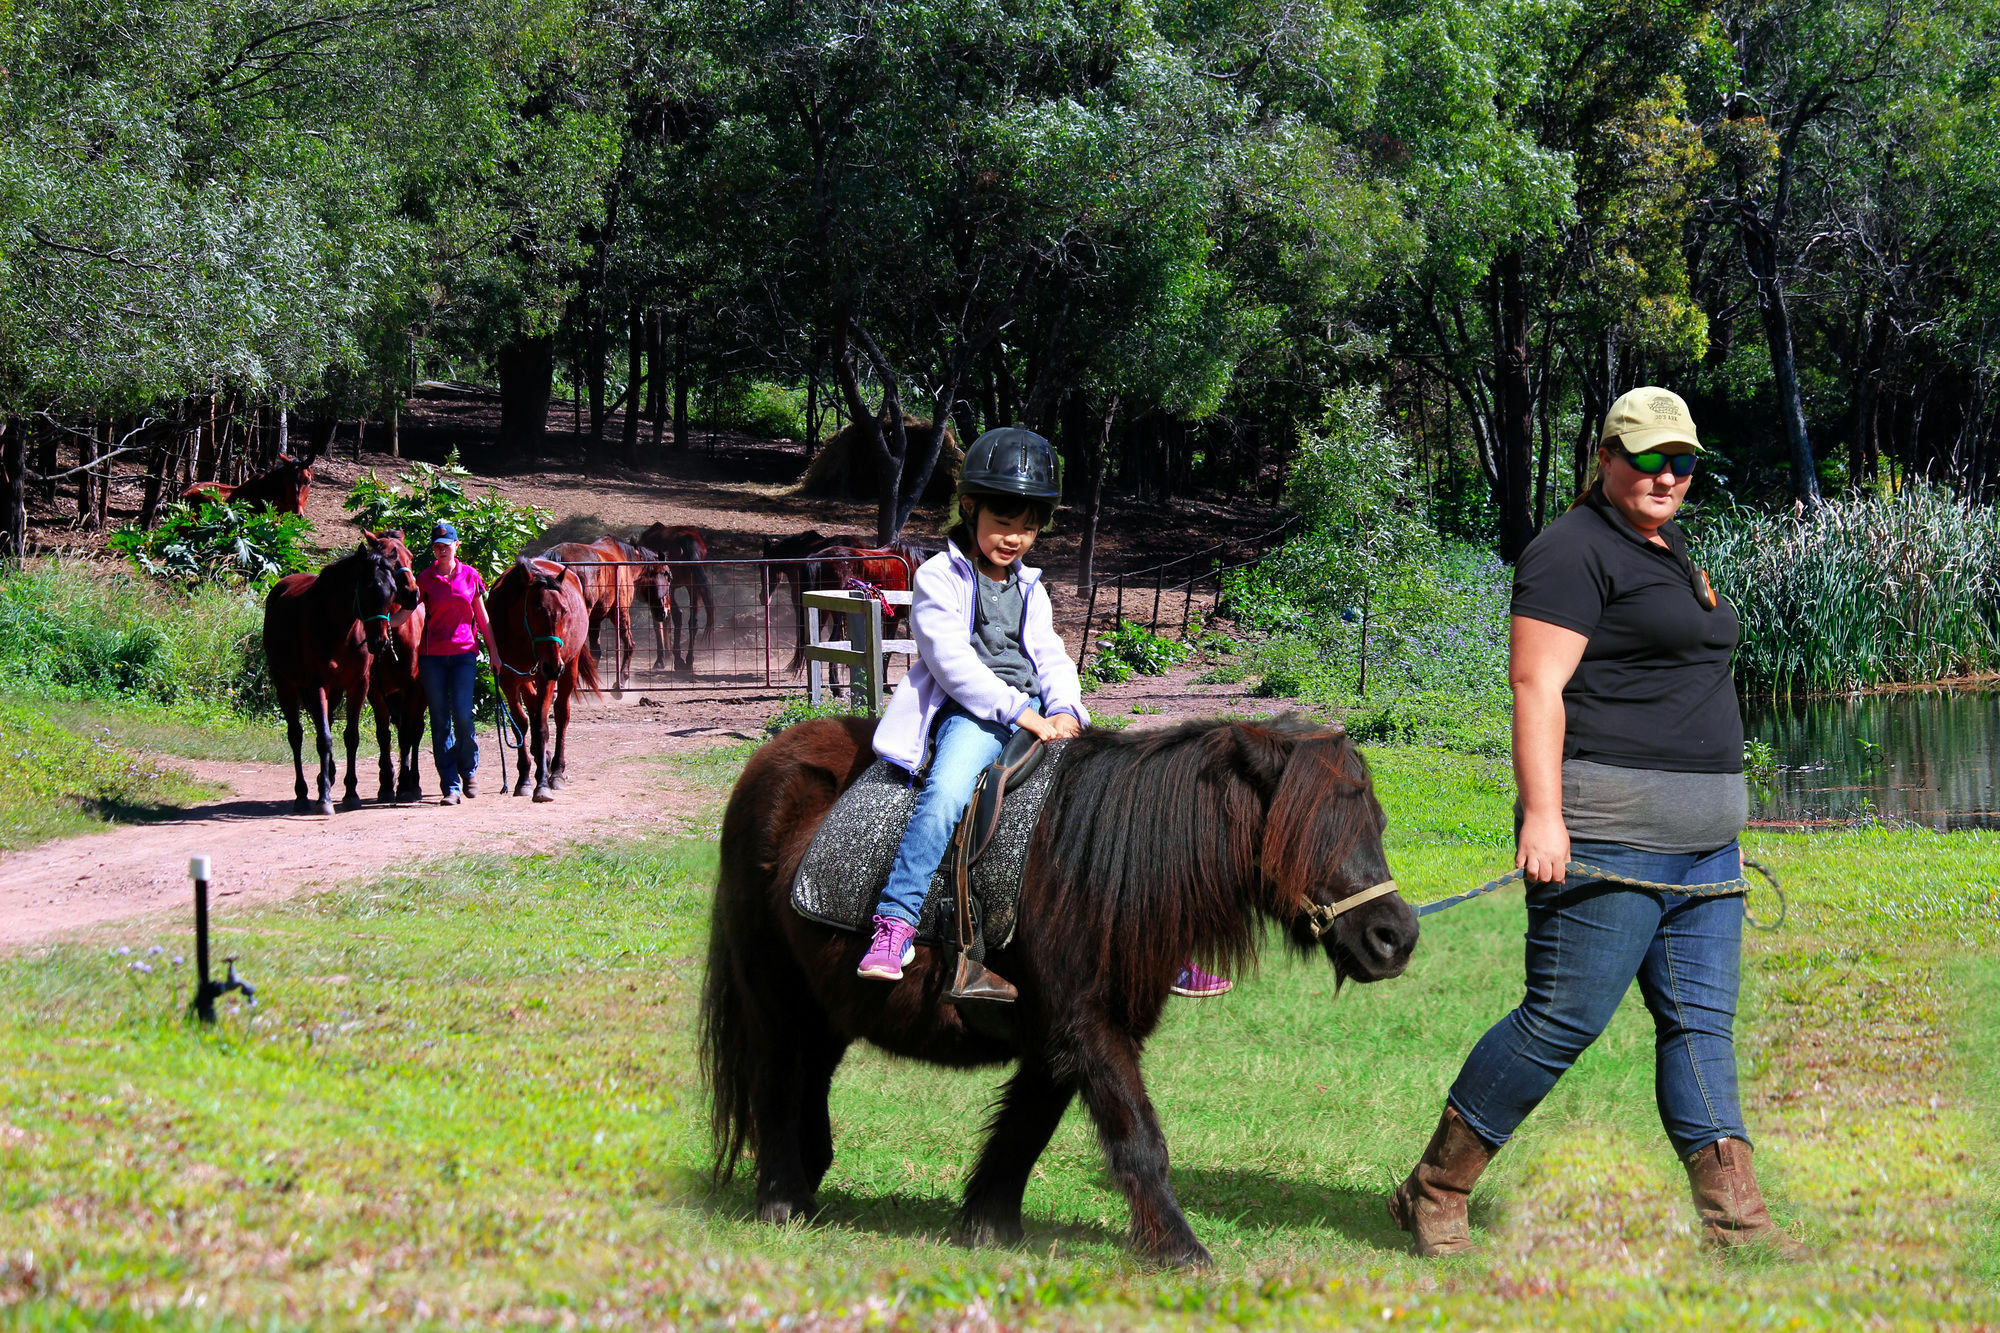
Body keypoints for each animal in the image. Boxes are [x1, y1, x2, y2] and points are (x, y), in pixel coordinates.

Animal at [262, 528, 418, 808]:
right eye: (368, 589)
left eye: (390, 591)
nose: (379, 642)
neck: (336, 627)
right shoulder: (318, 685)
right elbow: (324, 738)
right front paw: (324, 797)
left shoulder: (359, 685)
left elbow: (351, 736)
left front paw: (351, 792)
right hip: (285, 684)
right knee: (296, 734)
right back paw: (303, 793)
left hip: (334, 691)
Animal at [488, 552, 596, 792]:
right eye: (536, 611)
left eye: (564, 611)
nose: (554, 666)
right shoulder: (508, 677)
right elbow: (520, 723)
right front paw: (524, 777)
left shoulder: (545, 676)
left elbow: (542, 726)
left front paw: (543, 782)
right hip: (529, 675)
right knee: (533, 706)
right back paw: (540, 757)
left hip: (567, 668)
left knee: (561, 714)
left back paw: (555, 770)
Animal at [636, 520, 716, 676]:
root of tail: (688, 541)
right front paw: (667, 656)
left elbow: (659, 623)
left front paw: (661, 659)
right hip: (694, 586)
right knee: (692, 621)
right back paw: (688, 660)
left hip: (672, 588)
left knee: (677, 615)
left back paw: (678, 660)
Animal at [704, 712, 1424, 1264]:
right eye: (1312, 829)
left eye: (1377, 824)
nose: (1396, 936)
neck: (1105, 868)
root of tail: (769, 758)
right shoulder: (1085, 1025)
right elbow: (1138, 1139)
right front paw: (1181, 1247)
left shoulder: (1063, 1036)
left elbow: (1027, 1126)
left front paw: (989, 1224)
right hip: (772, 992)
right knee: (776, 1080)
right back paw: (783, 1199)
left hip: (823, 1005)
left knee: (809, 1078)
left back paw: (808, 1174)